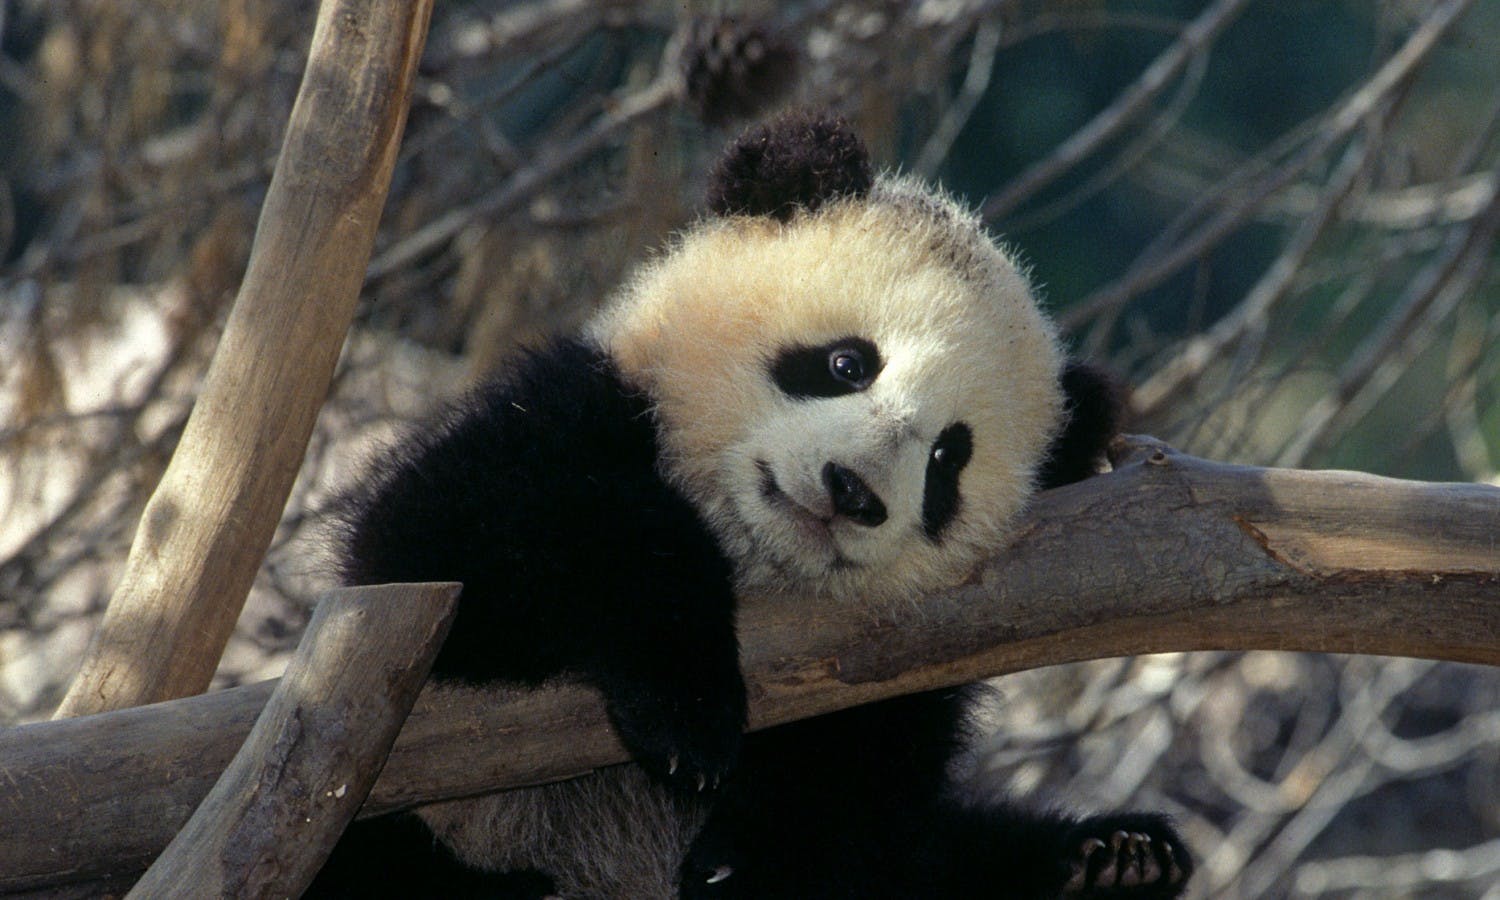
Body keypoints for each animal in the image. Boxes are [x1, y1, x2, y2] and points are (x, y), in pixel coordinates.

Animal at [307, 114, 1194, 900]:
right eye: (846, 362)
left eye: (949, 457)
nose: (853, 490)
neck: (755, 557)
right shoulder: (569, 415)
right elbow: (467, 538)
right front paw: (687, 710)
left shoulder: (907, 667)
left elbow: (866, 788)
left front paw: (745, 853)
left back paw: (1113, 860)